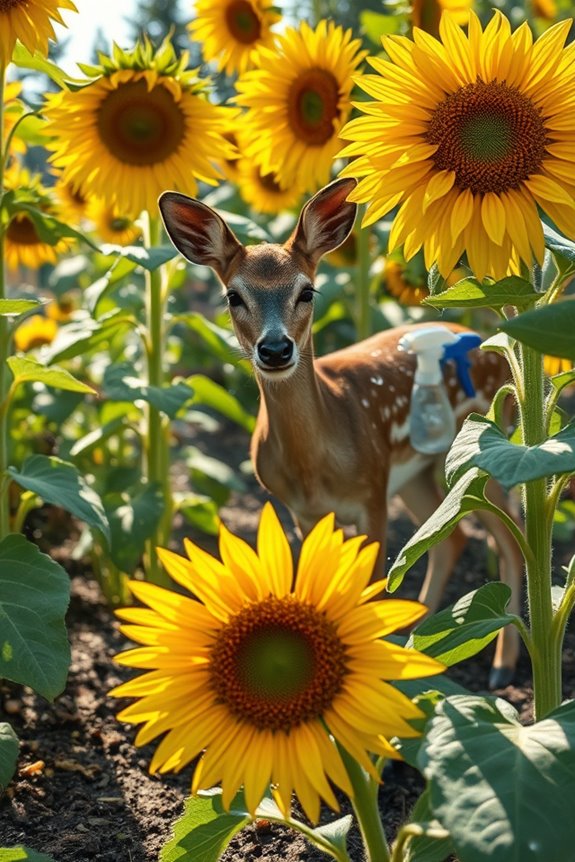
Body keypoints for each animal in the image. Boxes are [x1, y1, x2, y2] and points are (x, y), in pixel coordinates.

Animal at [159, 177, 523, 688]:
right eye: (233, 296)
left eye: (307, 291)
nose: (275, 349)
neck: (315, 467)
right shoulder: (304, 512)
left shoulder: (371, 494)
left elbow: (373, 589)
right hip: (417, 472)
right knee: (455, 540)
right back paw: (419, 649)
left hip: (484, 450)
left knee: (511, 538)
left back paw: (500, 667)